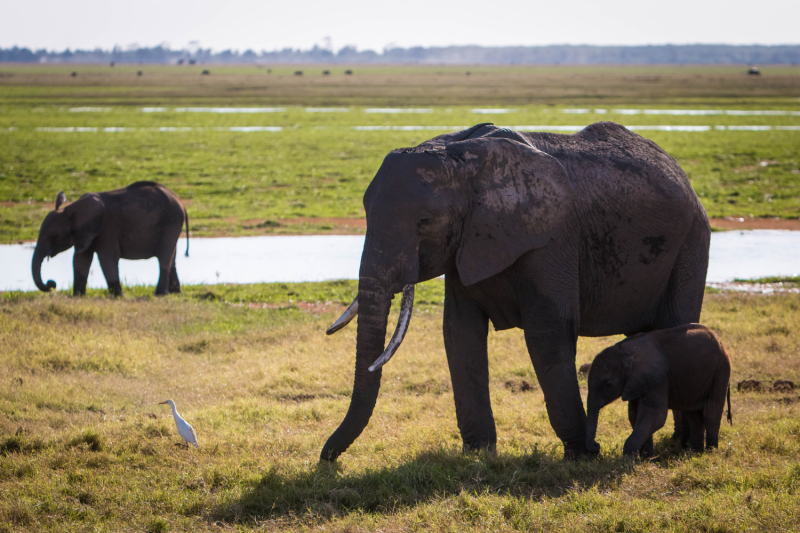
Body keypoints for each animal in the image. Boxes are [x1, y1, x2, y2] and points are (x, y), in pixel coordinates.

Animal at [32, 179, 188, 296]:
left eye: (54, 236)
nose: (52, 284)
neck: (70, 209)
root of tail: (179, 201)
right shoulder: (86, 232)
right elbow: (81, 259)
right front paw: (78, 296)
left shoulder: (106, 228)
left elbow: (107, 257)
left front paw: (119, 296)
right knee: (171, 255)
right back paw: (175, 292)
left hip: (171, 220)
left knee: (164, 255)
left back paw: (160, 294)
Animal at [322, 122, 708, 460]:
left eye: (424, 222)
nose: (326, 458)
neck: (463, 157)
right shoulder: (466, 244)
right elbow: (460, 333)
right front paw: (479, 455)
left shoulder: (553, 238)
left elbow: (547, 333)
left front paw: (582, 455)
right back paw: (650, 451)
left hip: (692, 241)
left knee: (675, 326)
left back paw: (679, 447)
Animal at [580, 322, 732, 456]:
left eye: (608, 384)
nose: (597, 446)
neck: (624, 351)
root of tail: (722, 343)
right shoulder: (637, 382)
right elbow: (635, 415)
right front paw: (646, 457)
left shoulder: (658, 377)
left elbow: (655, 415)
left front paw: (630, 459)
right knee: (693, 415)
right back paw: (695, 453)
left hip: (720, 371)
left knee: (711, 413)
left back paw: (710, 453)